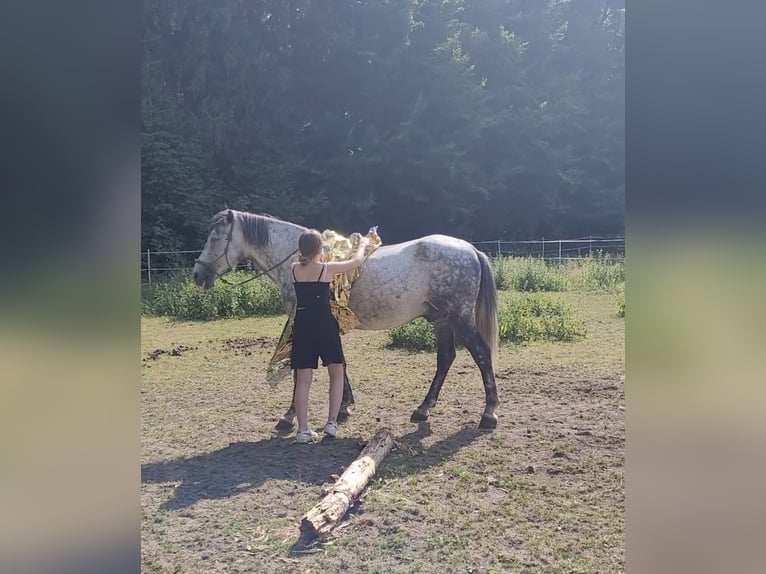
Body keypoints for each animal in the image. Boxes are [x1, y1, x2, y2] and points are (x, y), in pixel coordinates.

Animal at [194, 209, 504, 430]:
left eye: (215, 238)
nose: (198, 275)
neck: (299, 260)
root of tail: (471, 250)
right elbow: (339, 362)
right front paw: (345, 406)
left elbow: (299, 366)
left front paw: (289, 416)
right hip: (442, 321)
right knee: (446, 358)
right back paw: (423, 409)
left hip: (459, 319)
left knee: (481, 353)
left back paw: (489, 413)